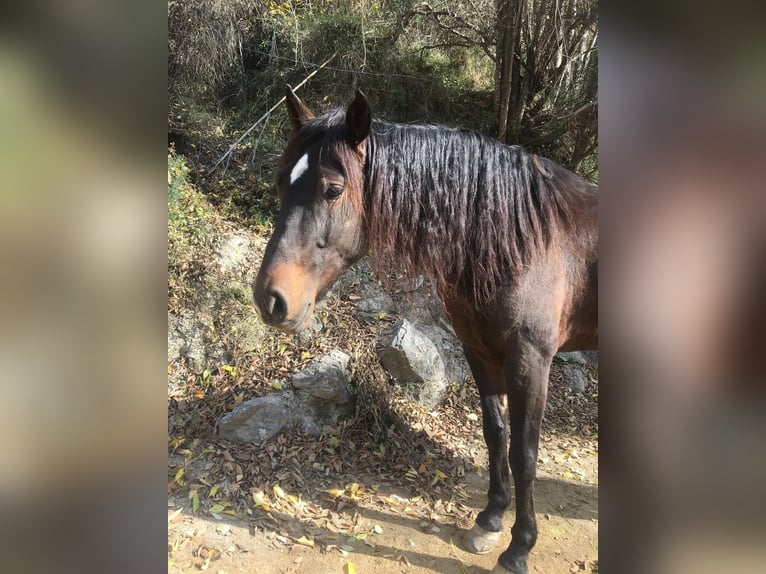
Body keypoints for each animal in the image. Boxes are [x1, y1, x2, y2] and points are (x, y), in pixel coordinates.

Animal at [253, 87, 598, 574]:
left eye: (332, 189)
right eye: (282, 183)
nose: (270, 299)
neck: (515, 238)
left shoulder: (531, 362)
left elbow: (525, 455)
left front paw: (519, 548)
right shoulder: (479, 352)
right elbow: (496, 434)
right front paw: (490, 520)